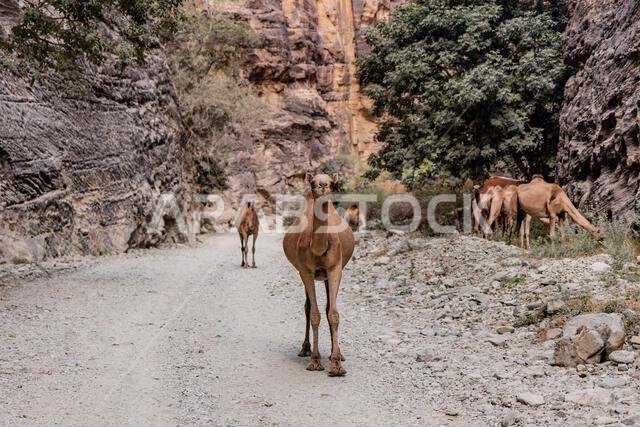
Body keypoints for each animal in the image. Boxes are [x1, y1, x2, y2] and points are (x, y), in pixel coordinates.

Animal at [283, 173, 355, 377]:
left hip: (326, 277)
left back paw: (335, 353)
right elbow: (314, 314)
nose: (322, 185)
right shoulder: (306, 271)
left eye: (332, 182)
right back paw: (305, 349)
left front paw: (337, 364)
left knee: (328, 306)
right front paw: (315, 361)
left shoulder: (335, 269)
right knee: (307, 307)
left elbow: (334, 313)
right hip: (305, 274)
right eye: (312, 182)